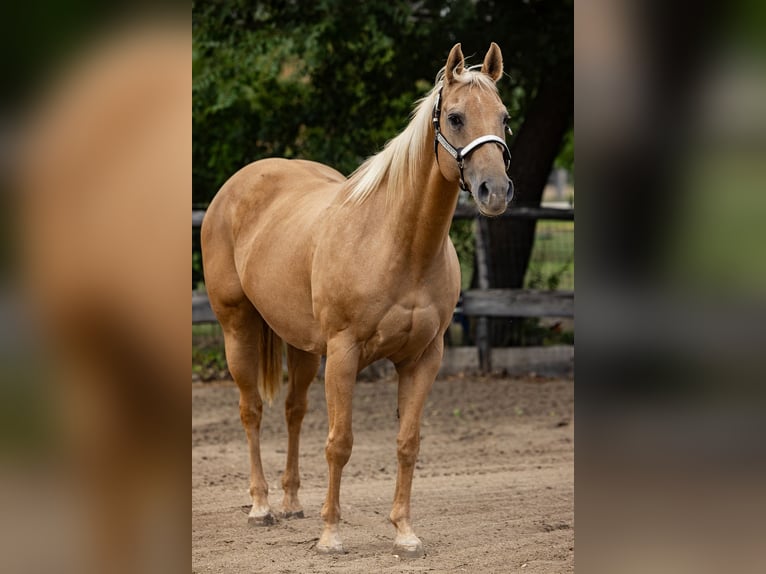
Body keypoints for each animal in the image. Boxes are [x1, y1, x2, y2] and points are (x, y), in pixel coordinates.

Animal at [201, 42, 513, 557]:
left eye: (504, 118)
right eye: (455, 117)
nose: (496, 191)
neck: (399, 242)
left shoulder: (423, 358)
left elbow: (408, 442)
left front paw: (404, 533)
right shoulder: (344, 354)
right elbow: (339, 443)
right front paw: (331, 535)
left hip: (303, 347)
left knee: (293, 412)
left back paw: (291, 502)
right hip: (237, 329)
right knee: (252, 412)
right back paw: (262, 507)